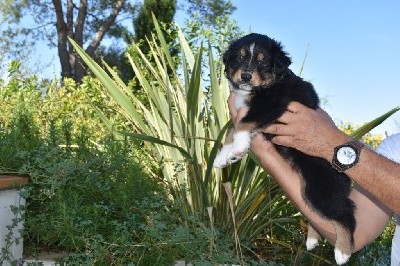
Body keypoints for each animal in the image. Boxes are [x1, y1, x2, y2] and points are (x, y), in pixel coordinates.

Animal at [214, 32, 358, 264]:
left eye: (263, 61)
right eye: (239, 57)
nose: (246, 76)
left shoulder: (273, 103)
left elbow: (244, 123)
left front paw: (238, 147)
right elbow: (231, 129)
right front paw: (223, 156)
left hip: (321, 189)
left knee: (346, 213)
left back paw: (343, 253)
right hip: (307, 190)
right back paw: (312, 240)